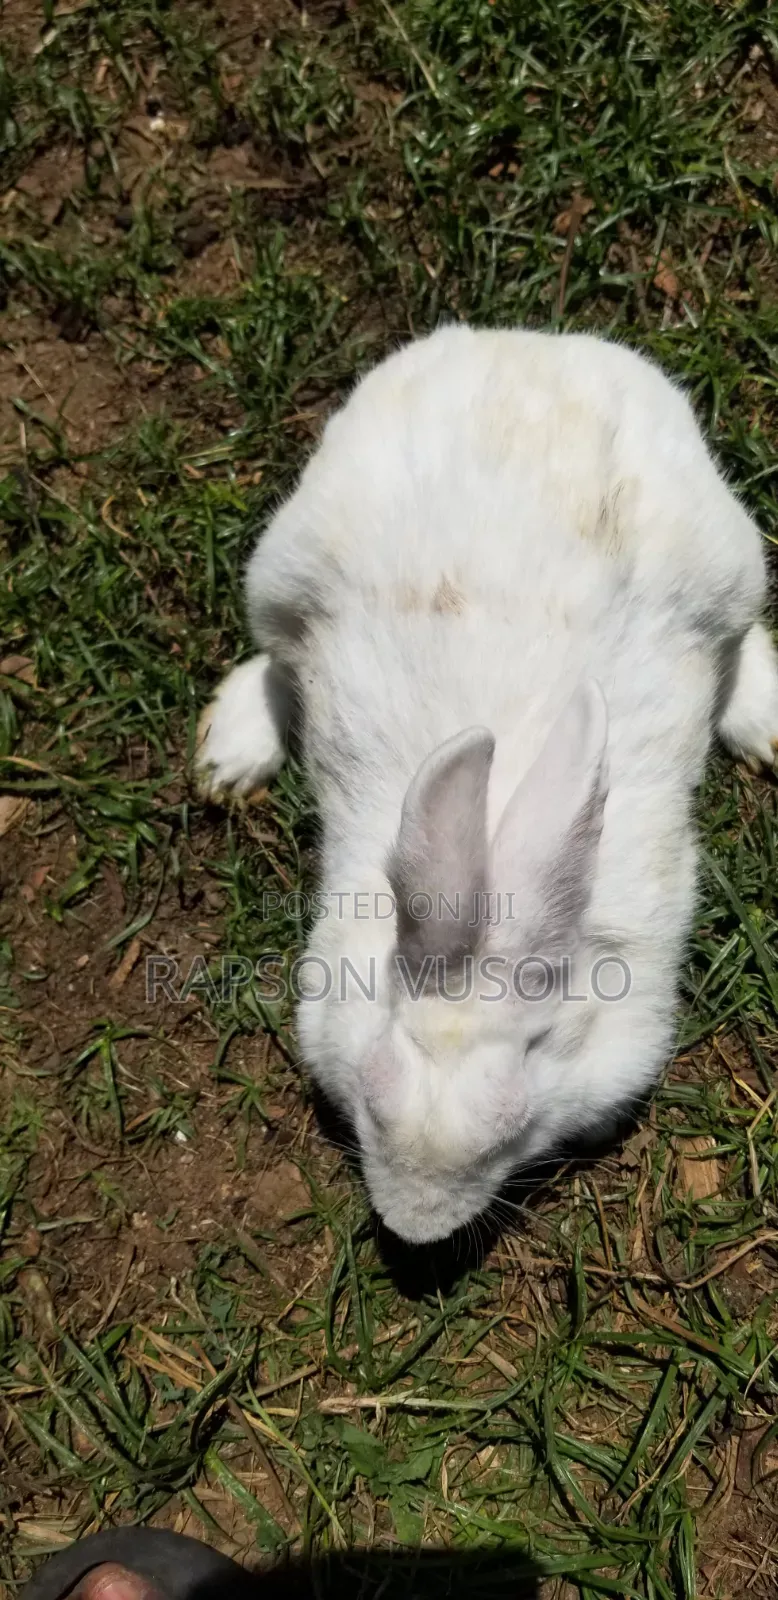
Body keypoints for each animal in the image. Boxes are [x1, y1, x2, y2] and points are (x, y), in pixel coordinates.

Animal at [197, 325, 778, 1244]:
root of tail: (530, 345)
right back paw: (229, 752)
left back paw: (765, 721)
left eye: (514, 1126)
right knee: (277, 660)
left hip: (732, 564)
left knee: (744, 636)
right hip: (283, 567)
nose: (414, 1227)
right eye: (371, 1094)